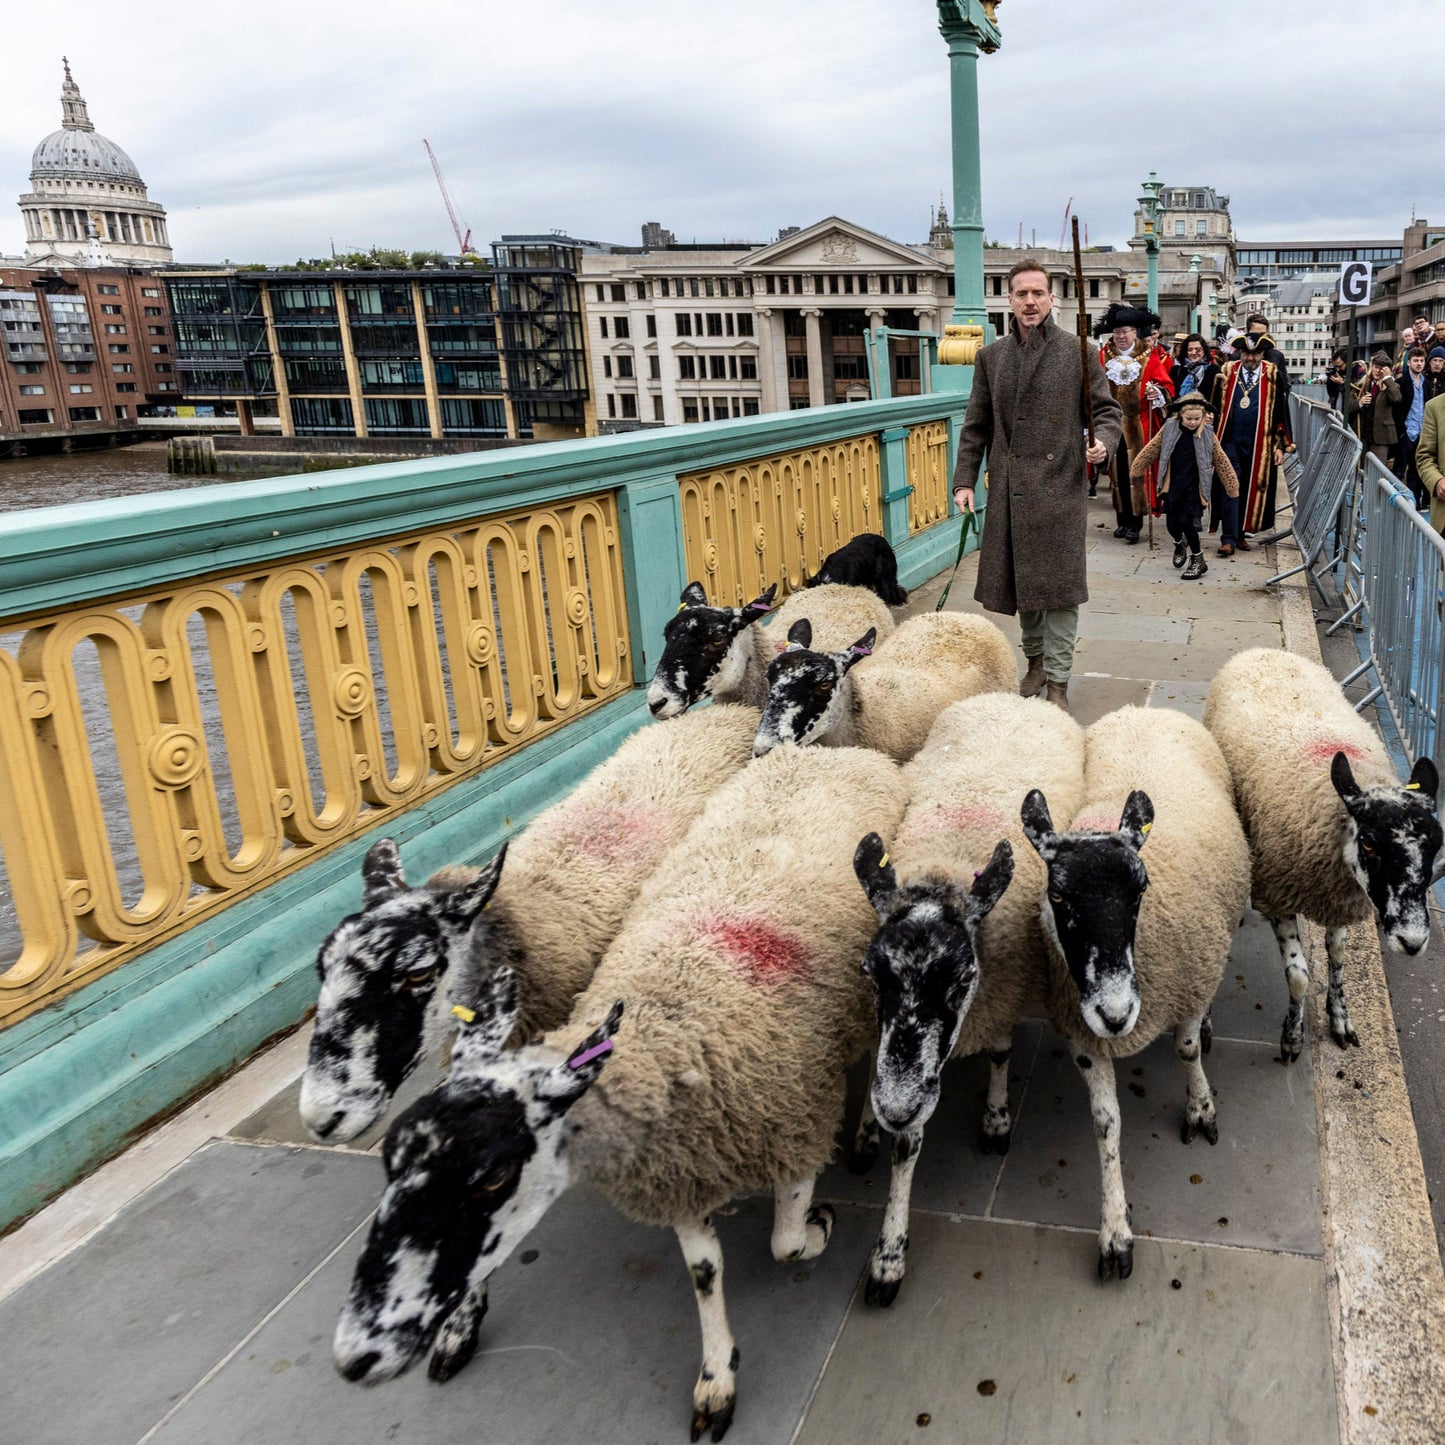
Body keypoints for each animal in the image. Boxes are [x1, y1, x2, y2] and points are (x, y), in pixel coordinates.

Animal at [331, 744, 909, 1442]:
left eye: (494, 1176)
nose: (356, 1355)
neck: (661, 1037)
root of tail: (825, 751)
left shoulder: (794, 1126)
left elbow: (786, 1242)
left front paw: (822, 1225)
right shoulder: (677, 1165)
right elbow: (704, 1271)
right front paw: (717, 1377)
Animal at [852, 691, 1084, 1305]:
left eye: (961, 980)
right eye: (871, 974)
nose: (894, 1107)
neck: (947, 864)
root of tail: (1016, 697)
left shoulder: (1000, 995)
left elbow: (1001, 1054)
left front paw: (996, 1119)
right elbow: (905, 1141)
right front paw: (888, 1257)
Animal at [1020, 706, 1251, 1282]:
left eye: (1141, 888)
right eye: (1058, 895)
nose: (1116, 1012)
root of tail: (1146, 708)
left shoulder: (1189, 983)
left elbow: (1187, 1050)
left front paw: (1201, 1109)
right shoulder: (1083, 1035)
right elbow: (1106, 1125)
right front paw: (1115, 1234)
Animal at [1204, 648, 1442, 1062]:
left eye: (1437, 844)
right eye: (1369, 843)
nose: (1412, 942)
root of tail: (1262, 651)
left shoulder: (1340, 900)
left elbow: (1338, 953)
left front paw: (1340, 1017)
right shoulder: (1279, 893)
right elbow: (1299, 975)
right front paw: (1292, 1036)